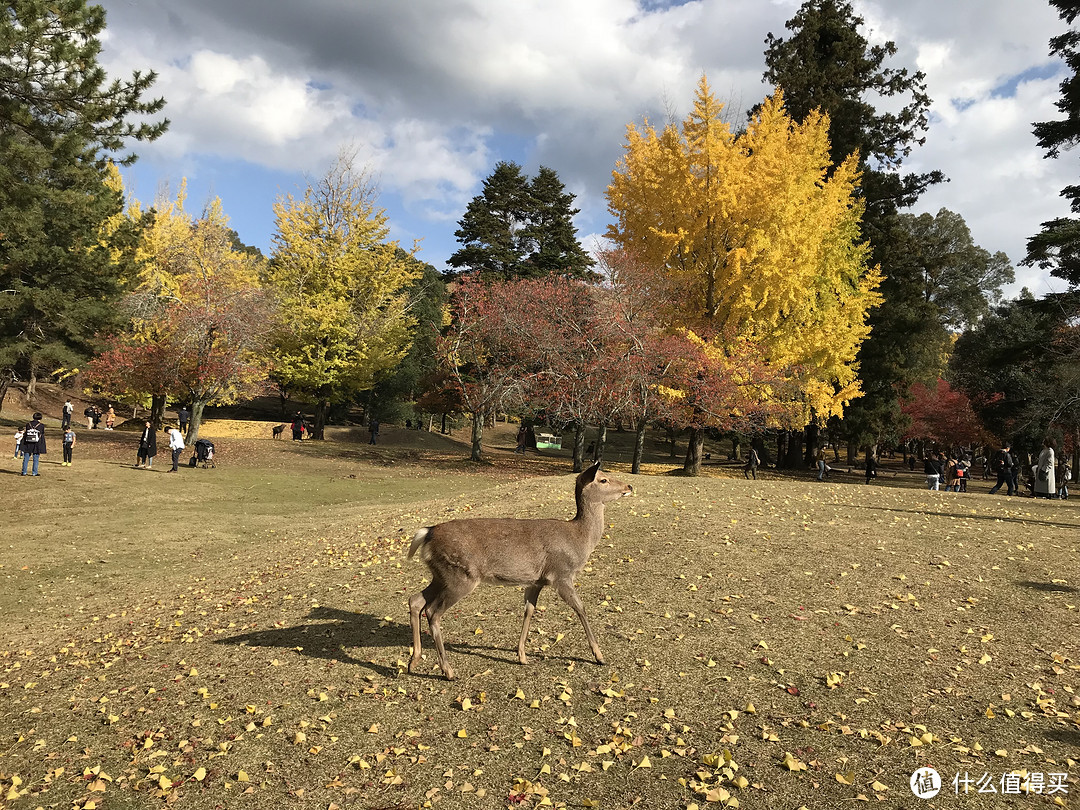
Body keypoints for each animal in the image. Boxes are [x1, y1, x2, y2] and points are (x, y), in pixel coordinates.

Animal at [406, 462, 630, 678]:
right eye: (603, 479)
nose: (629, 486)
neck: (580, 541)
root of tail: (427, 534)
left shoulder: (536, 581)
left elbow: (529, 611)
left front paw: (522, 655)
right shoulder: (561, 574)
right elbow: (580, 608)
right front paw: (599, 656)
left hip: (440, 575)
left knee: (415, 600)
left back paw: (413, 660)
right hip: (461, 576)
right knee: (432, 611)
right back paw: (448, 671)